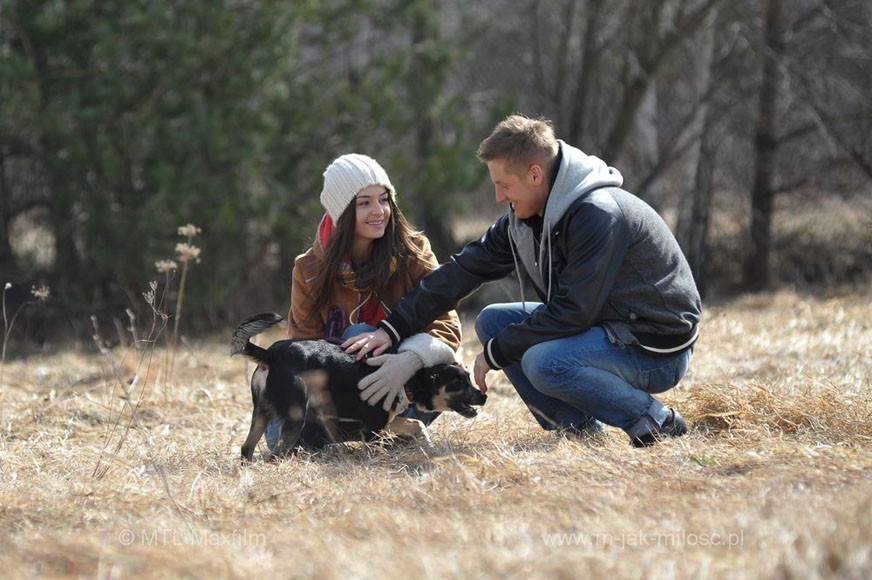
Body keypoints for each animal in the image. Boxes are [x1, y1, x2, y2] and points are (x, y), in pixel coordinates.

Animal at [232, 312, 488, 462]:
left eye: (469, 378)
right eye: (458, 383)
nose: (484, 397)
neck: (409, 380)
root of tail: (271, 355)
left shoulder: (385, 420)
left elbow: (416, 424)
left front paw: (426, 442)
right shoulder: (372, 429)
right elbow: (379, 449)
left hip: (262, 412)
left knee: (246, 448)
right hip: (295, 416)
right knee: (275, 453)